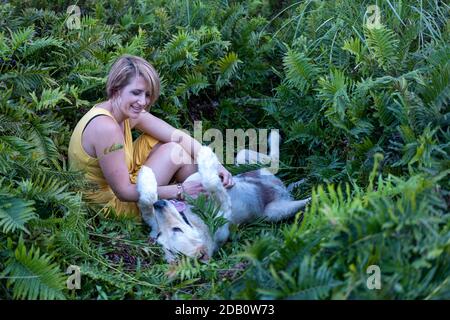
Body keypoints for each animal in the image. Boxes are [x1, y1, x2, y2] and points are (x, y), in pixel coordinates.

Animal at [137, 134, 312, 262]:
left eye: (175, 229)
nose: (159, 204)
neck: (195, 218)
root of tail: (283, 189)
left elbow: (146, 202)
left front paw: (145, 175)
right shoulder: (224, 209)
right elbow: (212, 184)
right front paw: (206, 156)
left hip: (247, 165)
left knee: (261, 158)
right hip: (273, 212)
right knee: (297, 193)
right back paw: (313, 193)